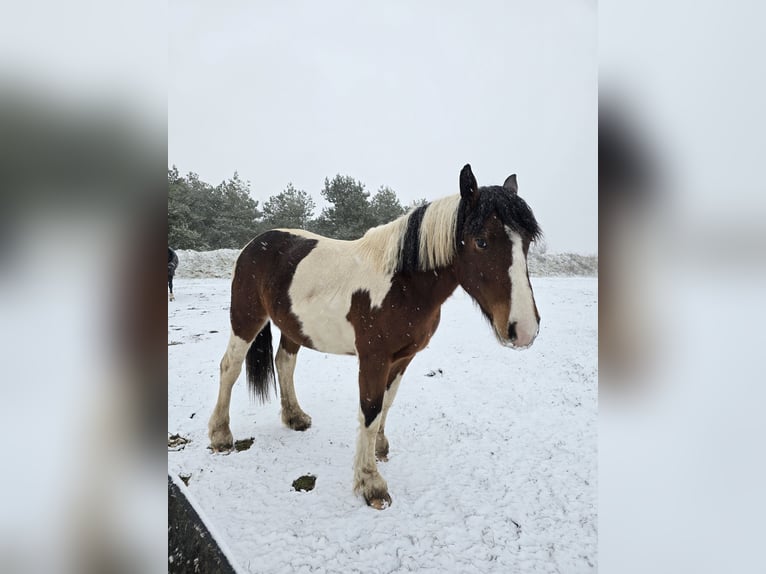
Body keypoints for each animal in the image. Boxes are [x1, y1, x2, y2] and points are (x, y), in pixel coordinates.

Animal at [207, 164, 544, 510]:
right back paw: (221, 435)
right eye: (481, 242)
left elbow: (387, 402)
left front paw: (379, 448)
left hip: (293, 327)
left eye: (527, 242)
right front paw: (371, 483)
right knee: (229, 366)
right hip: (246, 318)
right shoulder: (373, 358)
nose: (525, 329)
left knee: (284, 363)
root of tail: (255, 243)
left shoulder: (404, 357)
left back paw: (294, 417)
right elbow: (370, 408)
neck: (402, 285)